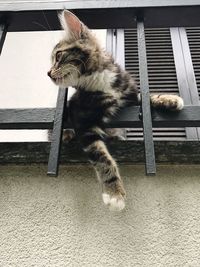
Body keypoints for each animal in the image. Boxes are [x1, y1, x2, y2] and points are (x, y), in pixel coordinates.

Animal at [47, 9, 184, 211]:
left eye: (58, 56)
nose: (48, 73)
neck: (100, 80)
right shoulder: (82, 119)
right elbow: (102, 158)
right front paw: (114, 193)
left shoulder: (128, 94)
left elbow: (143, 97)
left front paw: (169, 99)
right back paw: (67, 135)